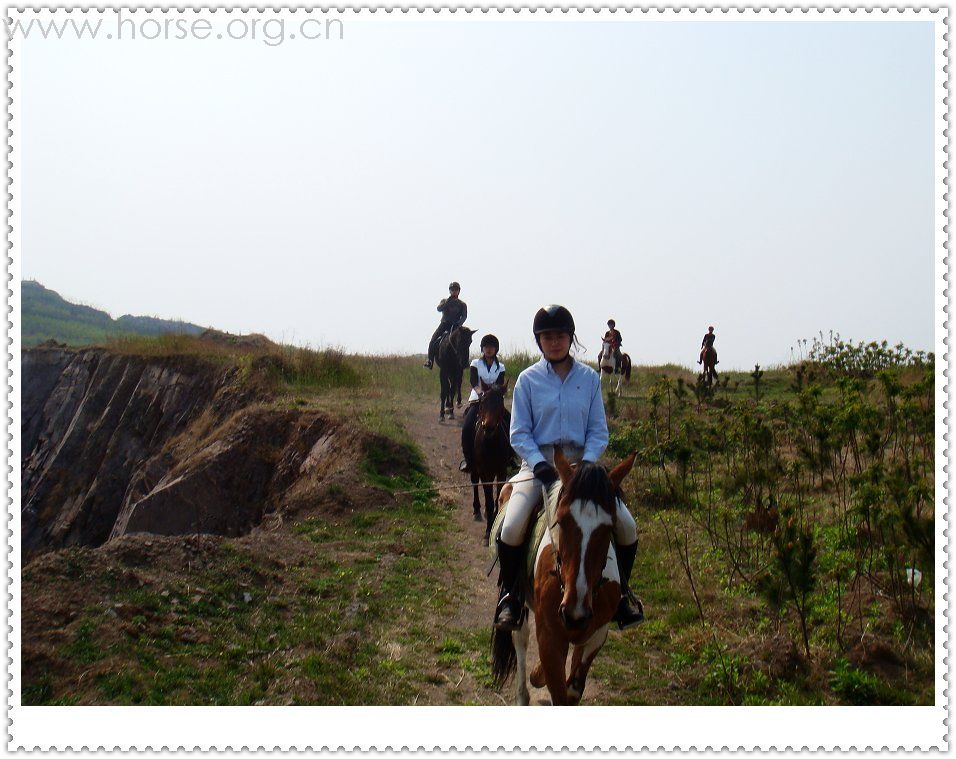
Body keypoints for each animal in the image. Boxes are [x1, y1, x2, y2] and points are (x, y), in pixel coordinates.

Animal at [470, 386, 516, 548]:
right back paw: (477, 510)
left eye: (500, 404)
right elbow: (489, 502)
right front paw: (488, 531)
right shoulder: (485, 473)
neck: (490, 444)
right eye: (483, 402)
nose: (488, 427)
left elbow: (497, 497)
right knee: (474, 482)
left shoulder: (501, 471)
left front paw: (497, 516)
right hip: (474, 468)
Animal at [492, 452, 636, 708]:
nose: (574, 613)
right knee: (520, 637)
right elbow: (559, 693)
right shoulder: (550, 635)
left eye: (609, 527)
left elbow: (573, 689)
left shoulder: (596, 632)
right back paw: (523, 694)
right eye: (561, 519)